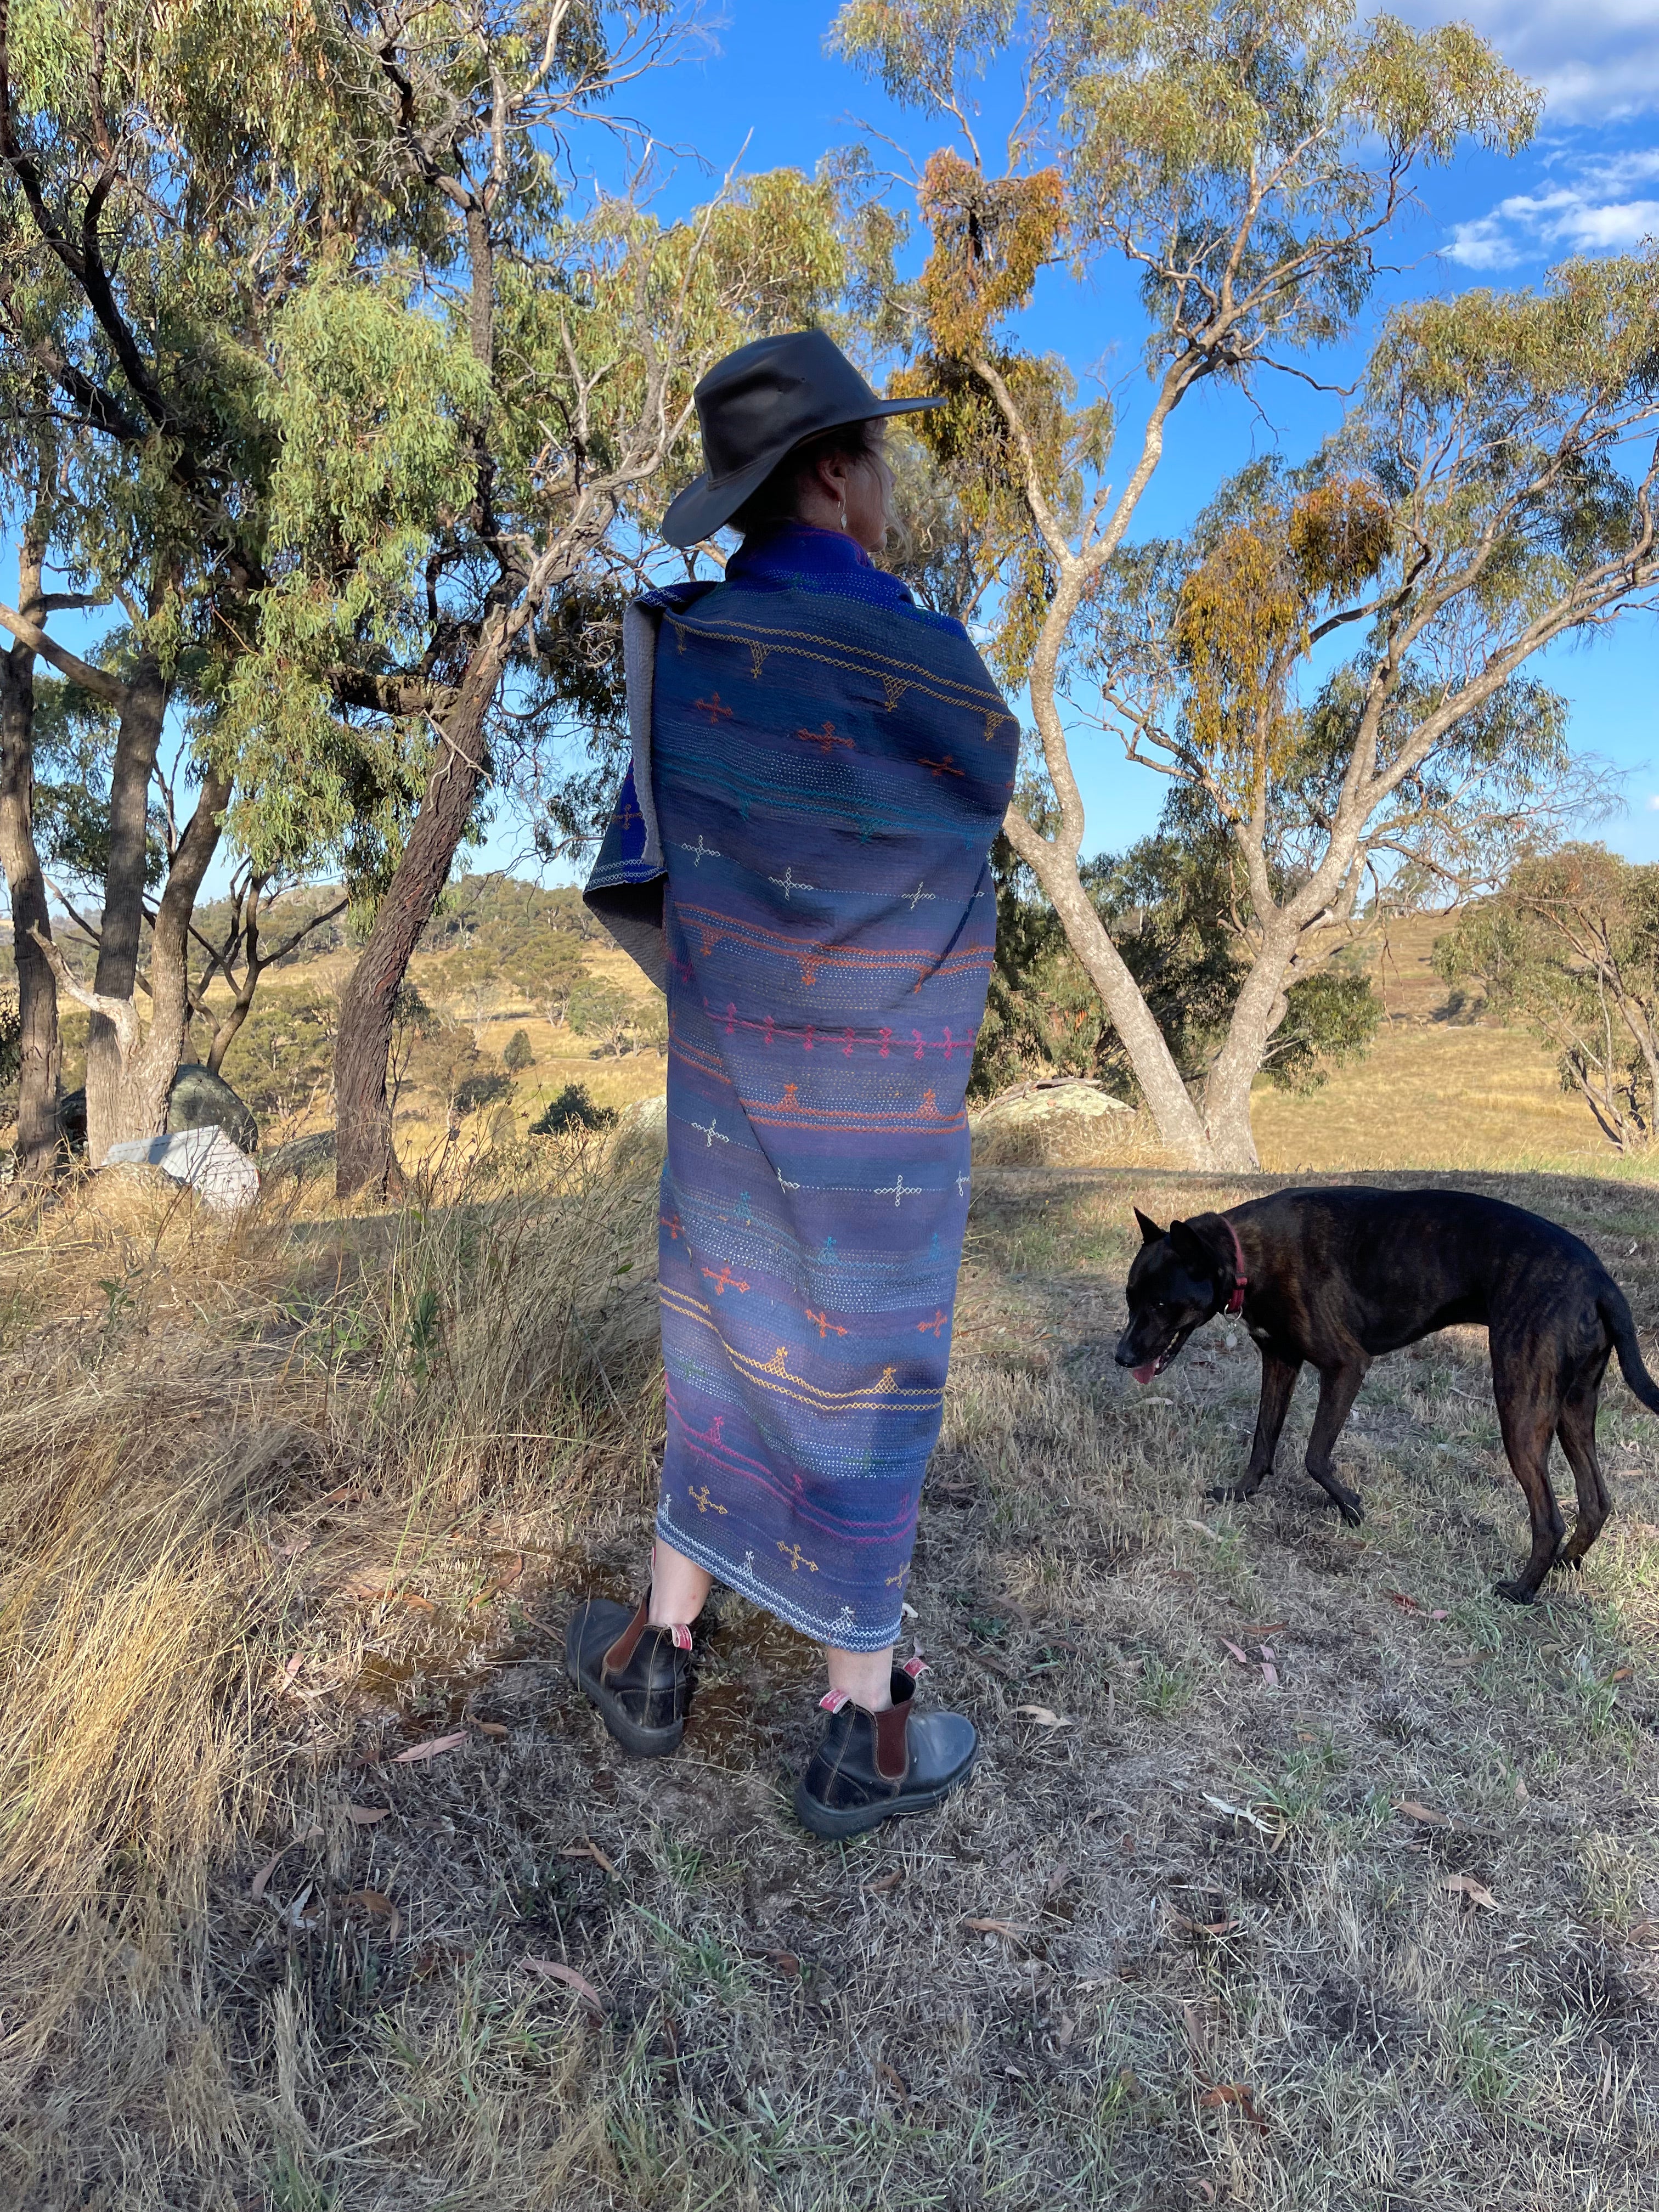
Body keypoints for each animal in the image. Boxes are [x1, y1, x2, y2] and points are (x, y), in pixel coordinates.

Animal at [1119, 1186, 1659, 1601]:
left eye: (1162, 1303)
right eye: (1130, 1298)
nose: (1121, 1357)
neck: (1246, 1255)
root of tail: (1601, 1280)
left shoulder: (1345, 1366)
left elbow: (1315, 1455)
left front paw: (1349, 1506)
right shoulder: (1280, 1361)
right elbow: (1263, 1440)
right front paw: (1241, 1493)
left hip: (1521, 1409)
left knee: (1548, 1518)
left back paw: (1522, 1591)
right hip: (1572, 1410)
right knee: (1595, 1501)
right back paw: (1566, 1567)